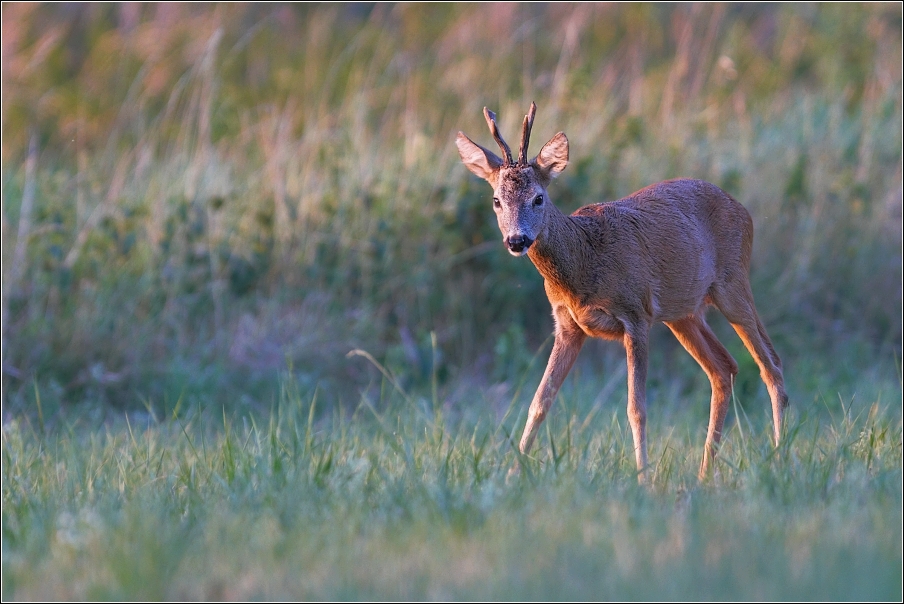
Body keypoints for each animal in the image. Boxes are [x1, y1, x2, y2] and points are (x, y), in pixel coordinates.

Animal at [456, 104, 788, 482]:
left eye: (539, 197)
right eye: (496, 200)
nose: (516, 240)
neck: (584, 261)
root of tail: (744, 210)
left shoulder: (636, 315)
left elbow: (636, 407)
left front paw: (642, 476)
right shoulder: (567, 326)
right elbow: (540, 401)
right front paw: (512, 473)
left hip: (733, 283)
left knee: (771, 364)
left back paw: (778, 459)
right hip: (682, 313)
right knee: (724, 367)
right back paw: (704, 474)